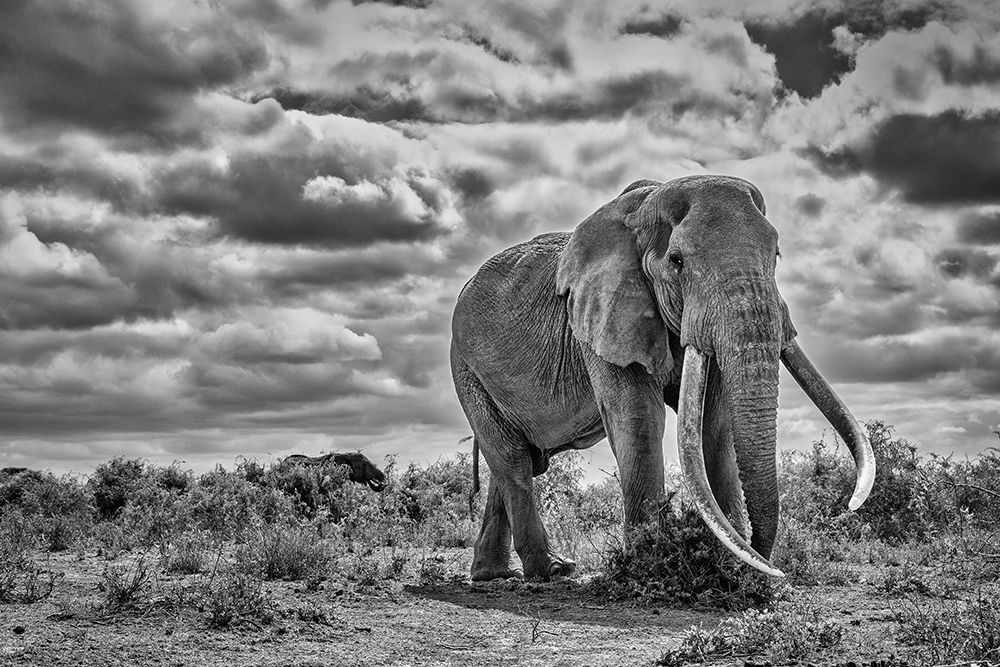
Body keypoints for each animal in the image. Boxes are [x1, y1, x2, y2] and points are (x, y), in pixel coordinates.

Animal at [452, 175, 876, 580]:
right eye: (676, 260)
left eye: (776, 255)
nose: (765, 564)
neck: (646, 207)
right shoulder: (601, 316)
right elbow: (639, 417)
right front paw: (647, 562)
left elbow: (713, 424)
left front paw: (729, 564)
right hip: (465, 367)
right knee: (513, 460)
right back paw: (552, 570)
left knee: (518, 459)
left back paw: (495, 573)